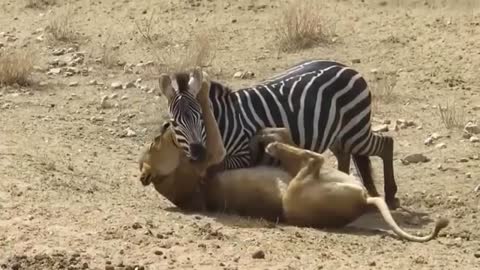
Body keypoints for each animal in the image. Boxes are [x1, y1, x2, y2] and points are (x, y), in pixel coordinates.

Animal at [159, 60, 400, 209]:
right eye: (174, 123)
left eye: (199, 117)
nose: (198, 154)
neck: (223, 121)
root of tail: (347, 67)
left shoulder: (244, 154)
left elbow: (216, 167)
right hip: (339, 135)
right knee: (346, 154)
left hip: (355, 130)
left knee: (386, 143)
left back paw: (390, 195)